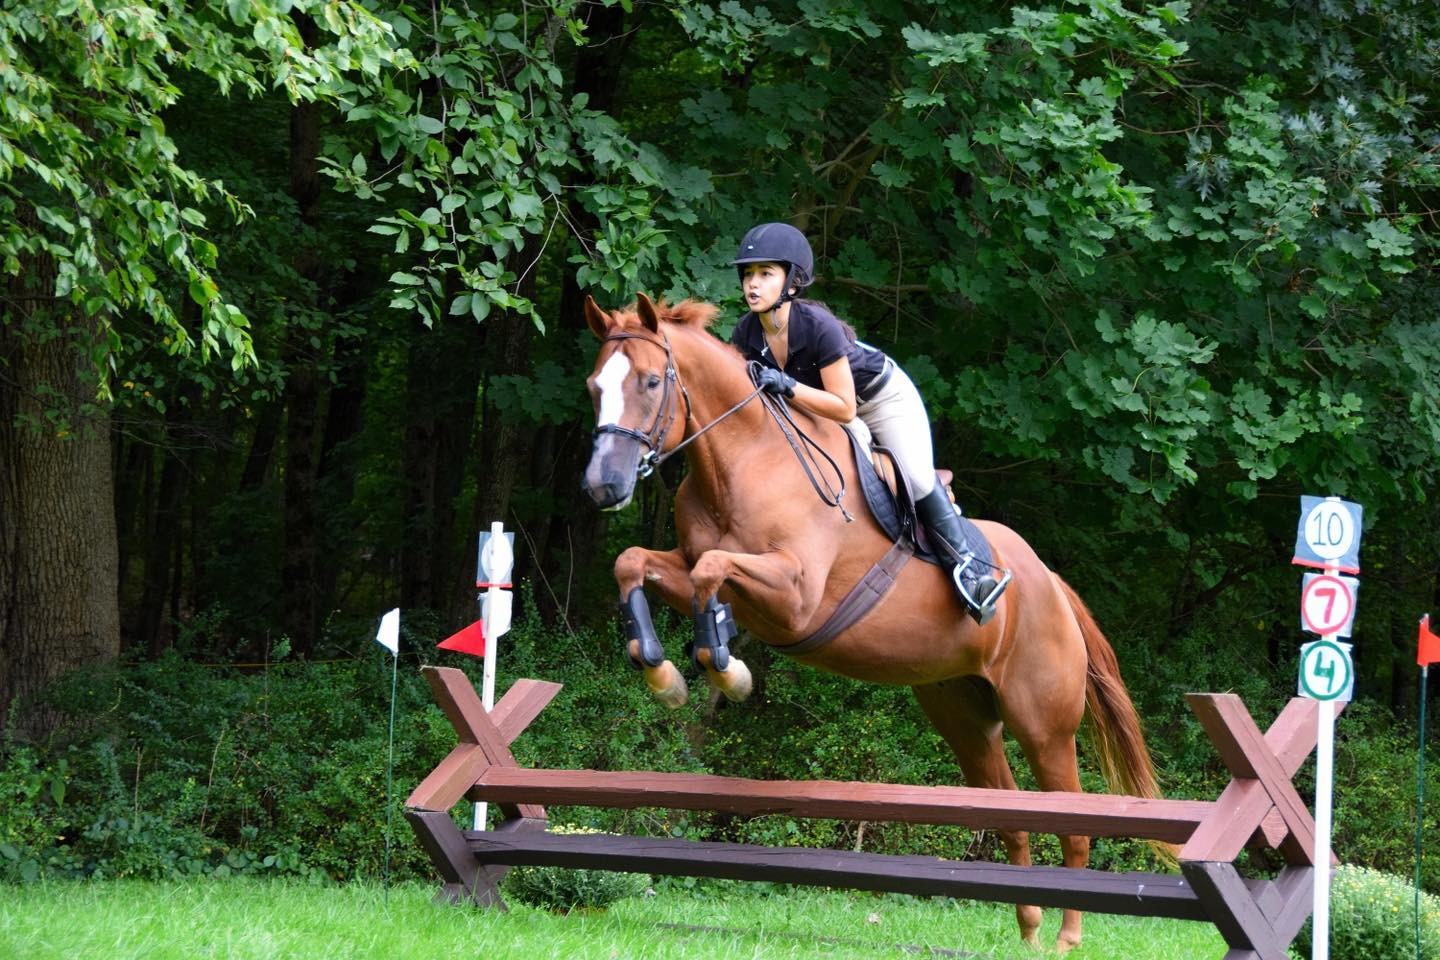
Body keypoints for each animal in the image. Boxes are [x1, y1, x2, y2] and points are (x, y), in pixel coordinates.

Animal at [580, 292, 1162, 953]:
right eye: (595, 386)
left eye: (652, 382)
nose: (603, 487)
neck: (741, 459)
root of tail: (1051, 582)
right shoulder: (688, 566)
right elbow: (639, 563)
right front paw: (665, 674)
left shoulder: (795, 596)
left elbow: (711, 570)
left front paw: (726, 670)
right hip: (964, 717)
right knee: (1010, 815)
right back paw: (1030, 932)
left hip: (1044, 723)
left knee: (1072, 820)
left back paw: (1066, 938)